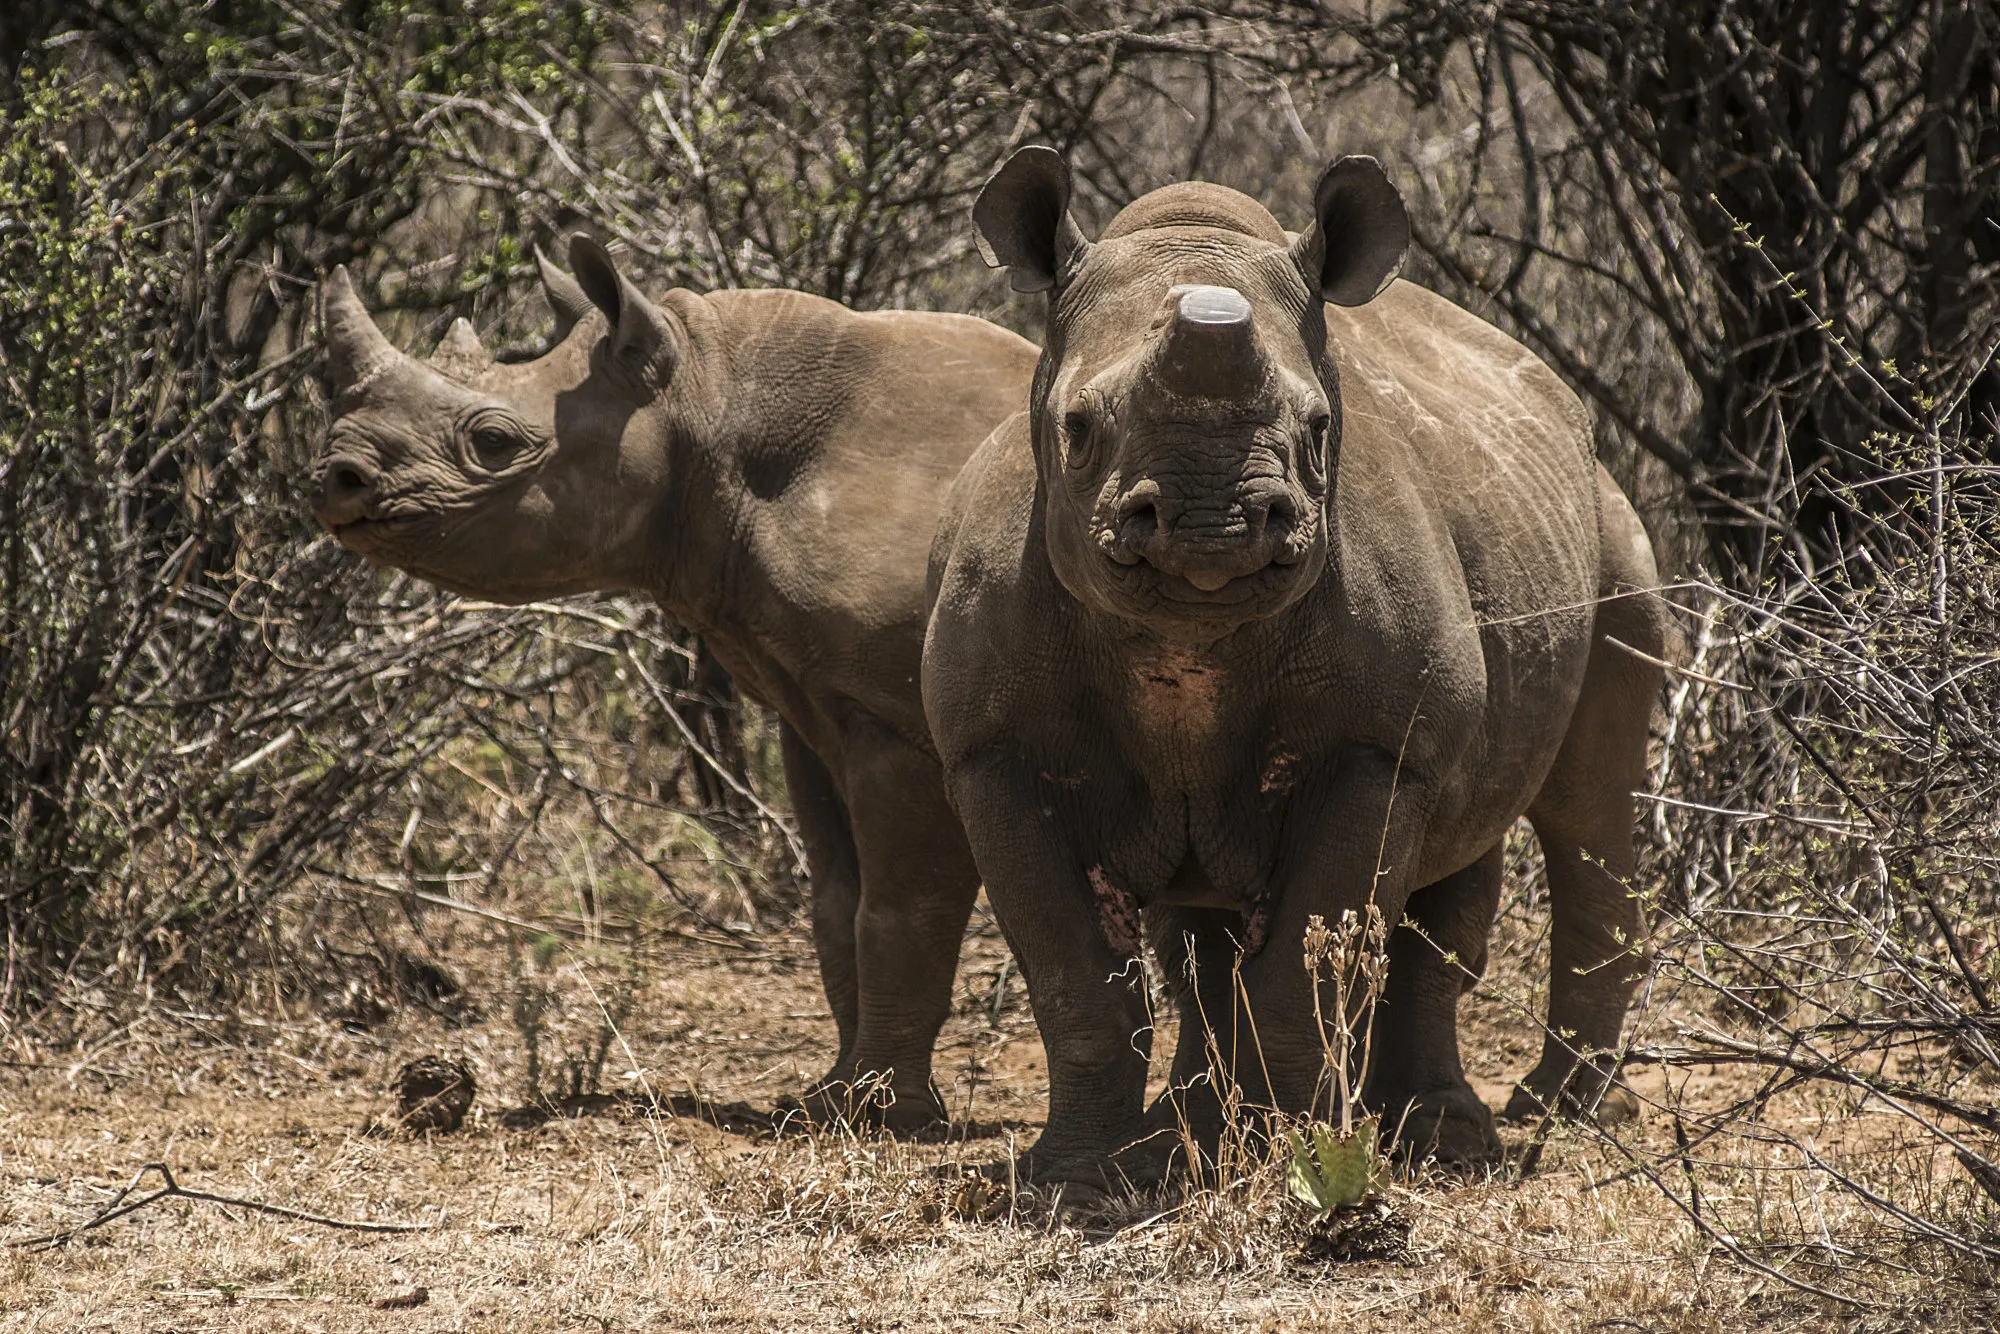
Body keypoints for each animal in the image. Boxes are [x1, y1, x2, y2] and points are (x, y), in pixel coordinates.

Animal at [313, 238, 1038, 1131]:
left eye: (492, 441)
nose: (335, 477)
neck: (702, 397)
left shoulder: (898, 716)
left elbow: (900, 912)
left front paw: (879, 1116)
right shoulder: (814, 702)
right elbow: (837, 905)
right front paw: (822, 1100)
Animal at [923, 148, 1666, 1192]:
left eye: (1317, 428)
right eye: (1076, 426)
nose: (1213, 524)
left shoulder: (1374, 750)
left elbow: (1302, 966)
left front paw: (1292, 1163)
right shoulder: (993, 753)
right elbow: (1078, 984)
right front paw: (1076, 1176)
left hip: (1615, 534)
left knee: (1587, 807)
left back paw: (1539, 1118)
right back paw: (1195, 1133)